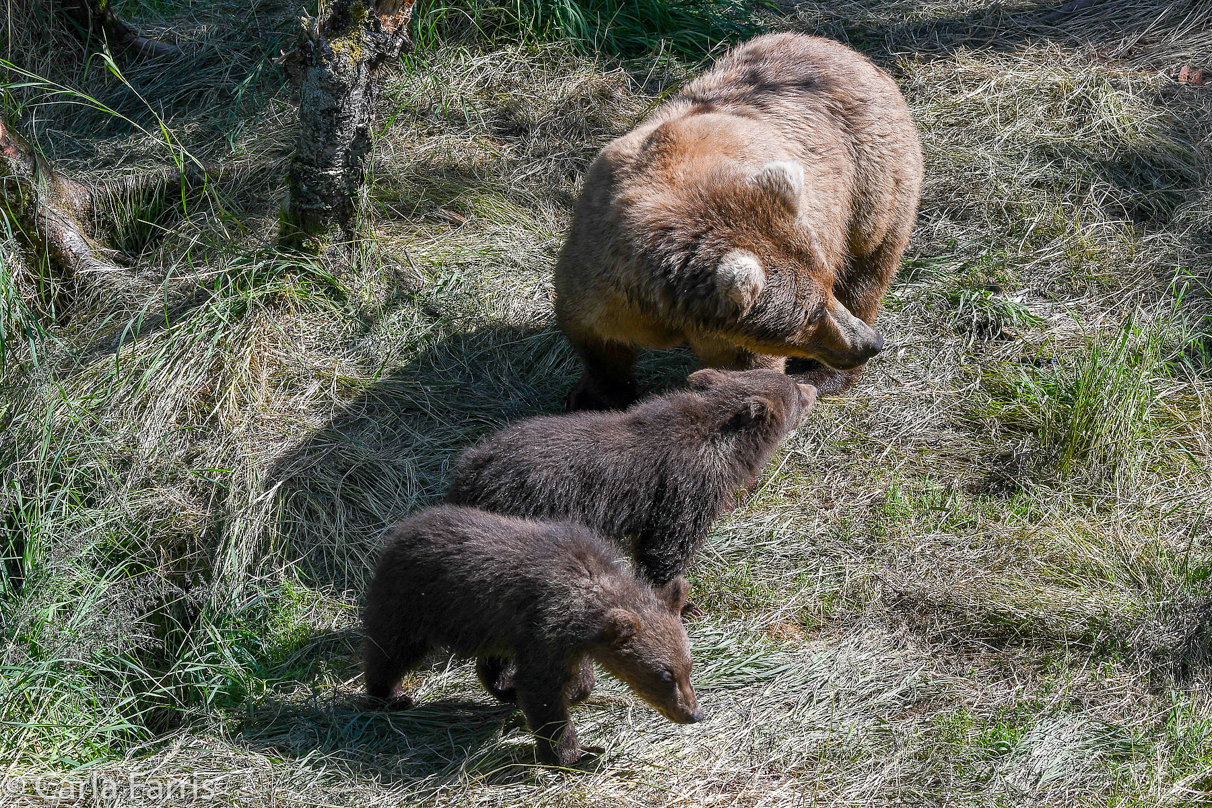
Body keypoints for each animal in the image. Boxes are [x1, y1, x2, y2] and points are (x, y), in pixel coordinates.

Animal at [555, 31, 921, 411]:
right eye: (810, 313)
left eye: (825, 288)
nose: (870, 343)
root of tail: (848, 52)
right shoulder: (603, 271)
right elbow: (597, 340)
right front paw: (595, 398)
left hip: (871, 180)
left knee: (868, 267)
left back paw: (822, 374)